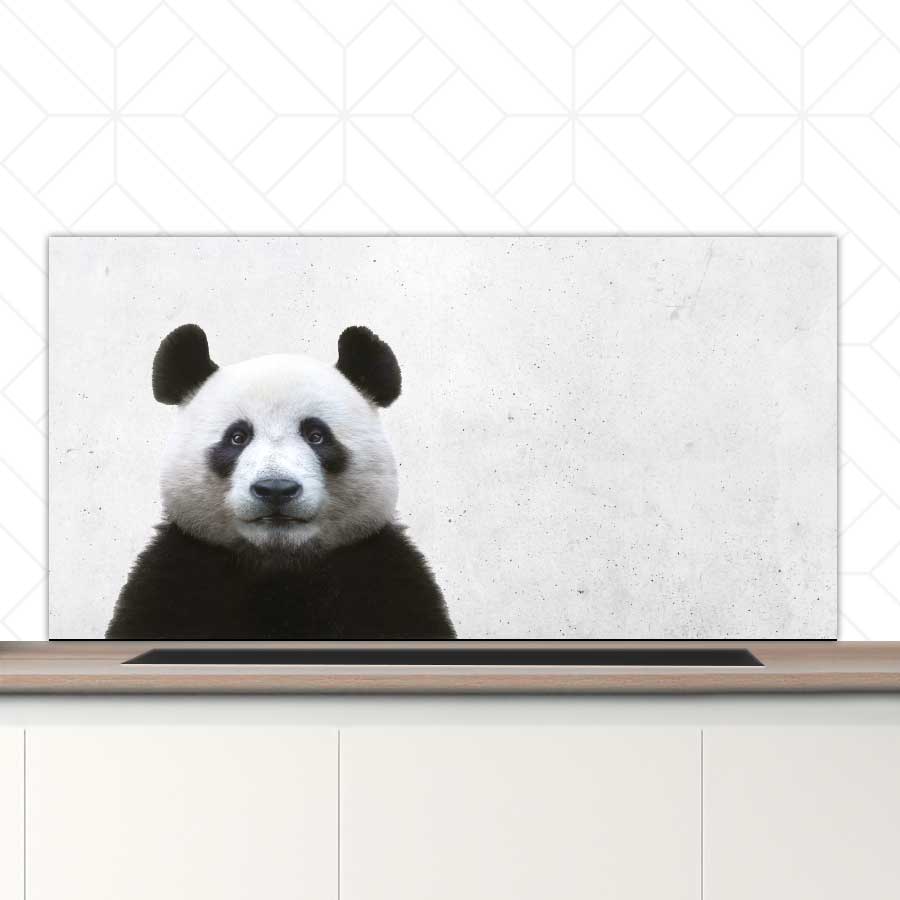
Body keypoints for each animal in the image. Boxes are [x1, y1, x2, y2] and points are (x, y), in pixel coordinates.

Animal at [106, 323, 456, 640]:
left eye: (316, 435)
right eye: (237, 437)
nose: (275, 489)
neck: (279, 565)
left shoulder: (381, 577)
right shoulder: (177, 574)